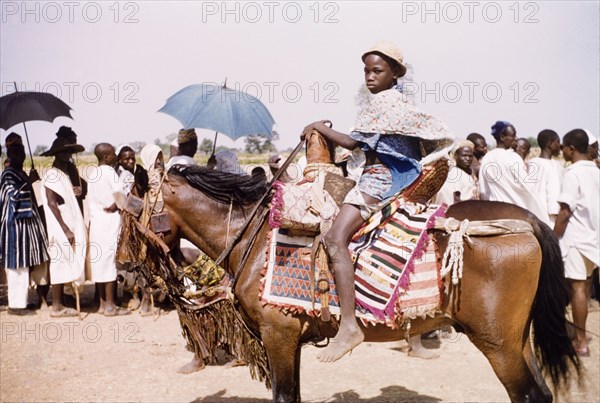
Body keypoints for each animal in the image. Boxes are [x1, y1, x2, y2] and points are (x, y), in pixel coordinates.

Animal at [120, 166, 576, 402]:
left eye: (127, 215)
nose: (124, 268)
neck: (255, 237)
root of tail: (529, 221)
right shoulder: (288, 339)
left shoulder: (277, 335)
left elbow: (284, 397)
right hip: (516, 340)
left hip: (497, 343)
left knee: (528, 396)